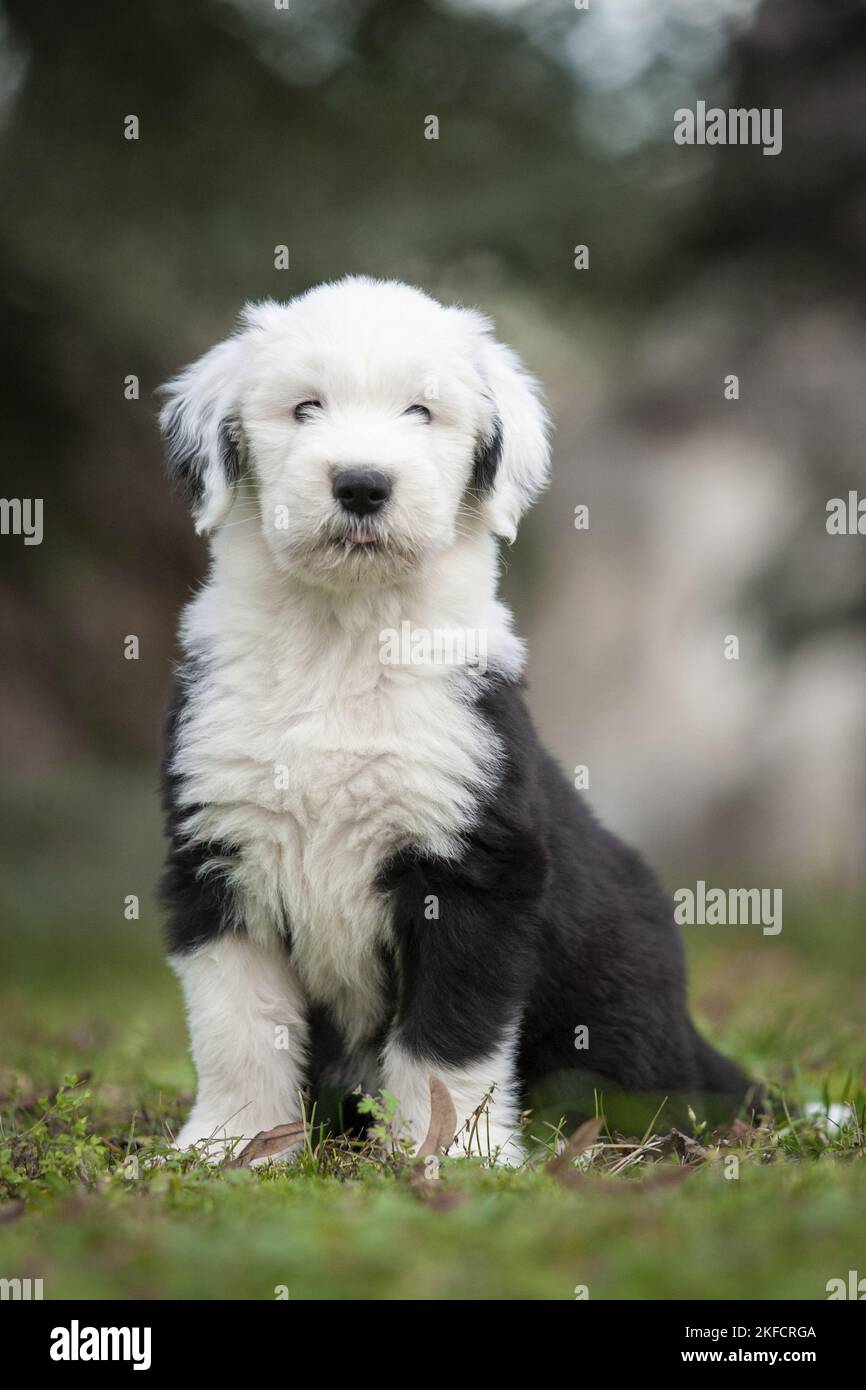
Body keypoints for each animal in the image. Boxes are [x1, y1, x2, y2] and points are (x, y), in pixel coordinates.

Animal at [157, 271, 750, 1162]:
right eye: (304, 408)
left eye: (421, 411)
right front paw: (232, 1148)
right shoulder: (215, 854)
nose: (361, 484)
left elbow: (449, 1038)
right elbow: (239, 1026)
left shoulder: (474, 870)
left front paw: (453, 1159)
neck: (345, 639)